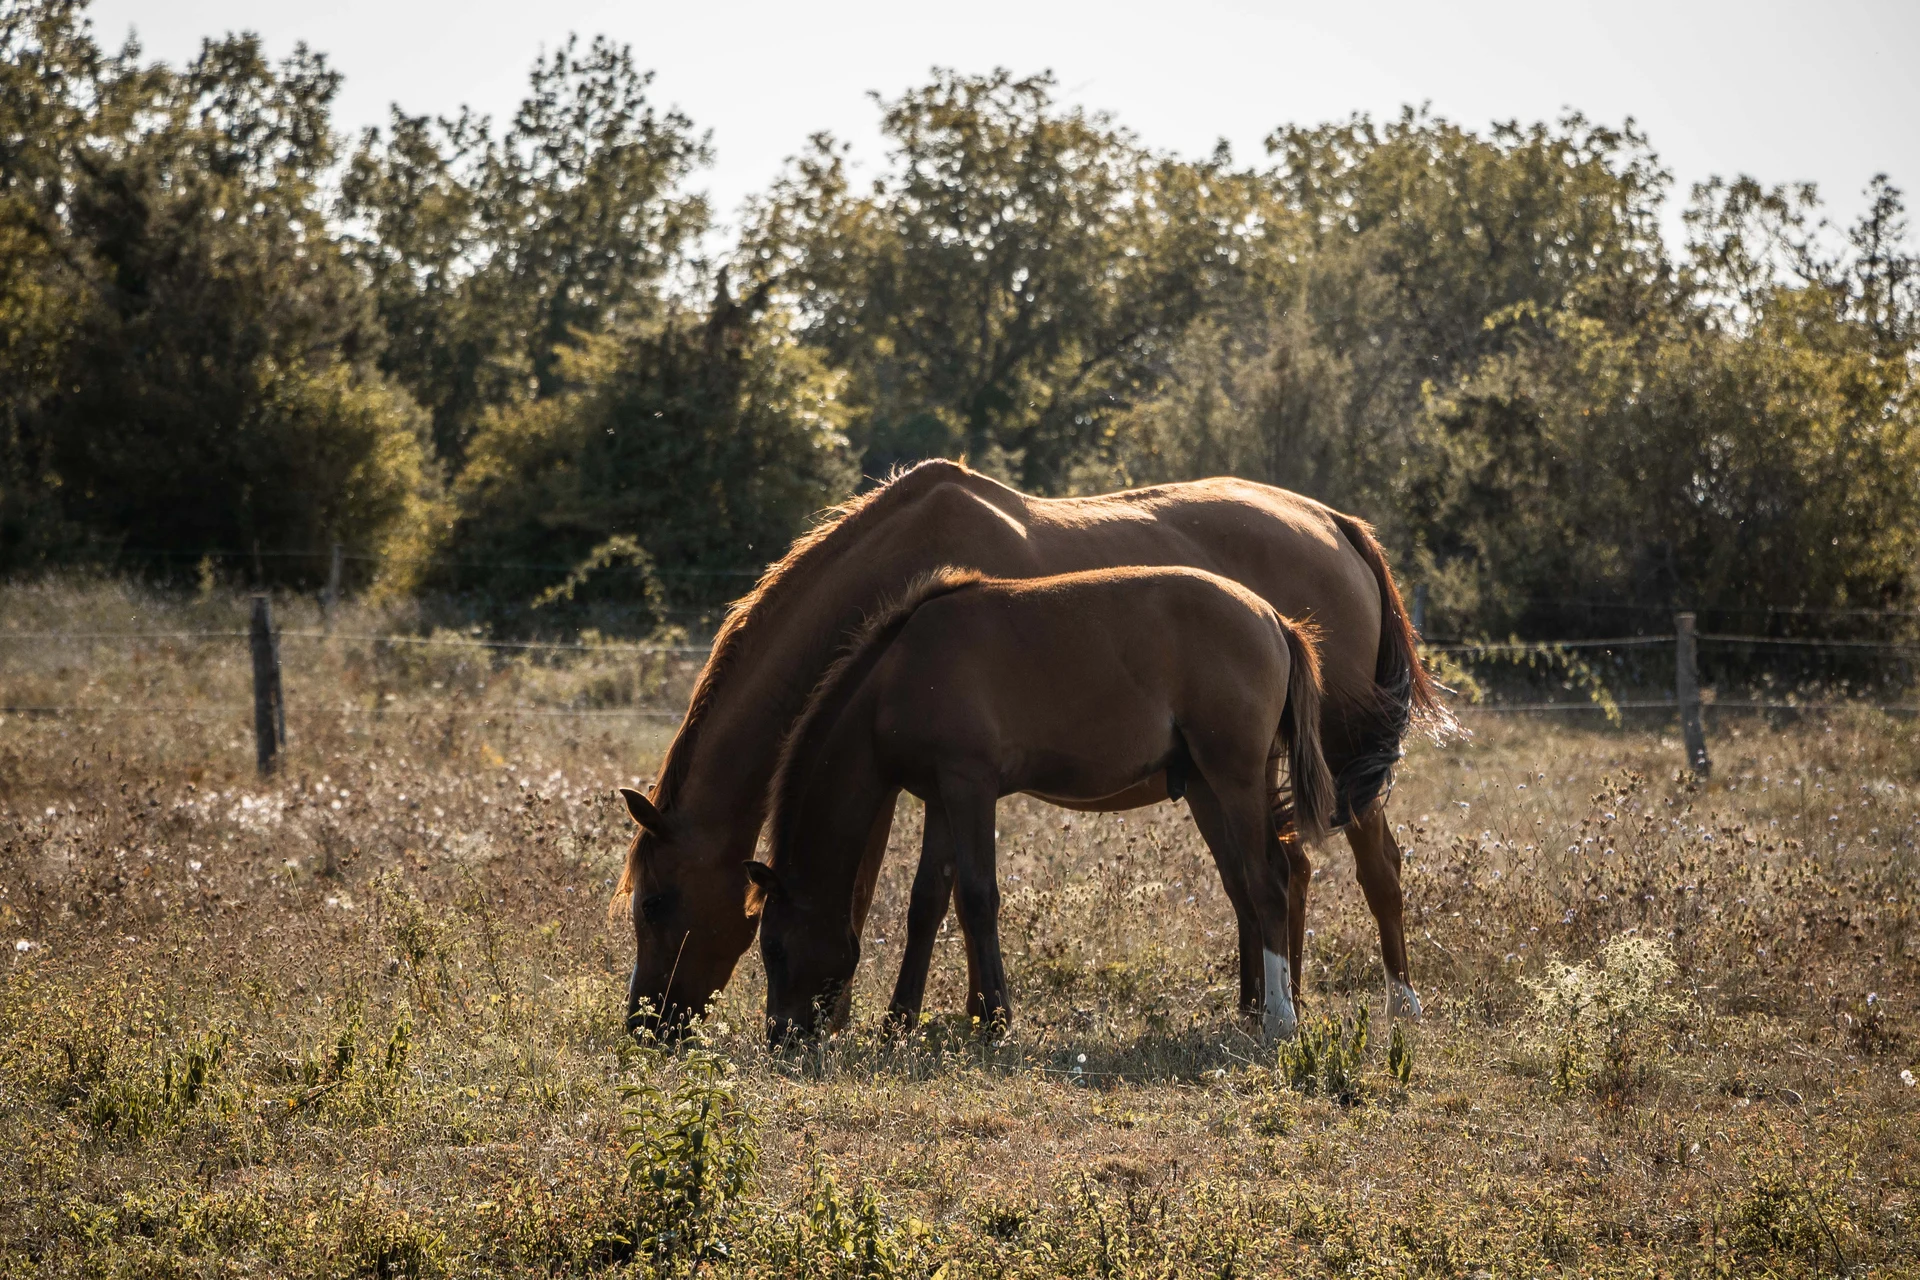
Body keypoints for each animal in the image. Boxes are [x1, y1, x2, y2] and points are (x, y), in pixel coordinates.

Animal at [744, 565, 1337, 1044]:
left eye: (772, 947)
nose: (780, 1036)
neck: (903, 673)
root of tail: (1273, 619)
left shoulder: (970, 788)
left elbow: (979, 898)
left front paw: (997, 1019)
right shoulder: (942, 798)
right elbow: (926, 903)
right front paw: (899, 1021)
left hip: (1233, 780)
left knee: (1268, 879)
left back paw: (1279, 1017)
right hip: (1207, 788)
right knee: (1242, 885)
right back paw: (1252, 1006)